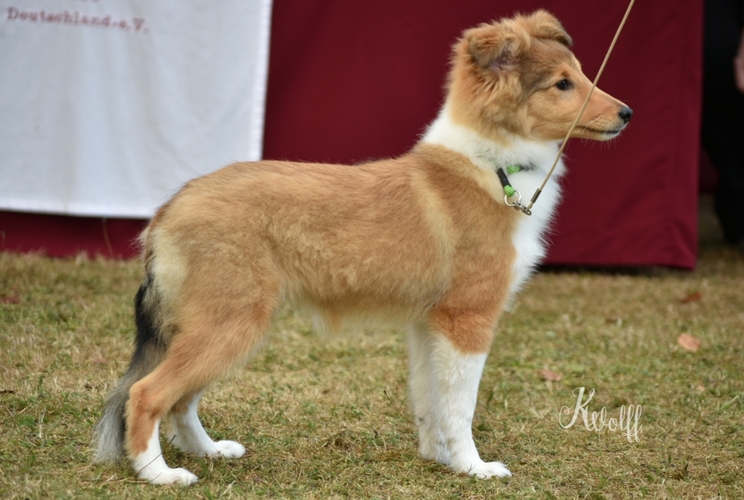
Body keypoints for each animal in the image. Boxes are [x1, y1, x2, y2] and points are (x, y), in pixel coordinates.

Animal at [90, 10, 632, 484]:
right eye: (561, 84)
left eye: (581, 74)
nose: (627, 114)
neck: (491, 166)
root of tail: (168, 208)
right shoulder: (467, 320)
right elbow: (460, 406)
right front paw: (474, 468)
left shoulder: (427, 325)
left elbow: (429, 401)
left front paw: (439, 459)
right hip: (230, 322)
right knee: (146, 393)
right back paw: (159, 473)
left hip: (215, 323)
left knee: (180, 398)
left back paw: (208, 450)